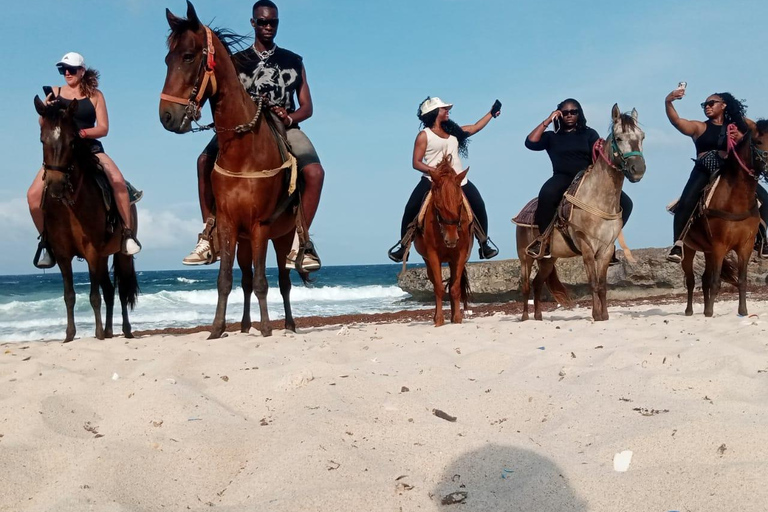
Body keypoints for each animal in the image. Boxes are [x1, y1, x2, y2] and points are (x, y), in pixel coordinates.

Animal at [34, 96, 140, 344]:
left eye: (73, 141)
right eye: (42, 140)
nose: (55, 185)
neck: (69, 205)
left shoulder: (91, 250)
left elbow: (93, 296)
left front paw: (98, 334)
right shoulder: (63, 254)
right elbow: (69, 295)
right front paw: (69, 335)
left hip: (120, 255)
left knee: (121, 291)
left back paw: (125, 330)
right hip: (103, 256)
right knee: (109, 290)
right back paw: (110, 331)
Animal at [159, 4, 306, 340]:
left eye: (188, 56)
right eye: (167, 59)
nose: (166, 116)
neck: (244, 151)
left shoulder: (260, 225)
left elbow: (265, 282)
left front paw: (266, 329)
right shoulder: (228, 224)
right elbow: (226, 280)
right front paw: (216, 328)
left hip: (281, 236)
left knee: (283, 281)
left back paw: (289, 324)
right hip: (244, 240)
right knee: (248, 280)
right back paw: (244, 325)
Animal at [414, 156, 474, 326]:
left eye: (460, 204)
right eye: (438, 206)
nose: (451, 240)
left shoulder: (459, 255)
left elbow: (455, 289)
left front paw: (457, 318)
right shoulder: (433, 256)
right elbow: (439, 288)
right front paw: (439, 319)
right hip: (428, 260)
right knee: (436, 283)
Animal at [516, 104, 648, 320]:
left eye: (642, 136)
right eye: (619, 137)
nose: (638, 169)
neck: (598, 200)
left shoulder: (606, 249)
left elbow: (602, 285)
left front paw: (604, 315)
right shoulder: (586, 246)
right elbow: (593, 282)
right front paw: (596, 314)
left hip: (549, 259)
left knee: (537, 283)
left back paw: (538, 316)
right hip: (525, 258)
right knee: (526, 285)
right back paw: (526, 317)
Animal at [680, 122, 768, 318]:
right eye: (759, 141)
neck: (736, 200)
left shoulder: (745, 246)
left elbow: (742, 279)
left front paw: (743, 311)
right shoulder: (719, 246)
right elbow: (715, 281)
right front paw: (710, 312)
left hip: (707, 250)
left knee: (704, 278)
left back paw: (705, 308)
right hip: (689, 249)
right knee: (691, 280)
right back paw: (690, 310)